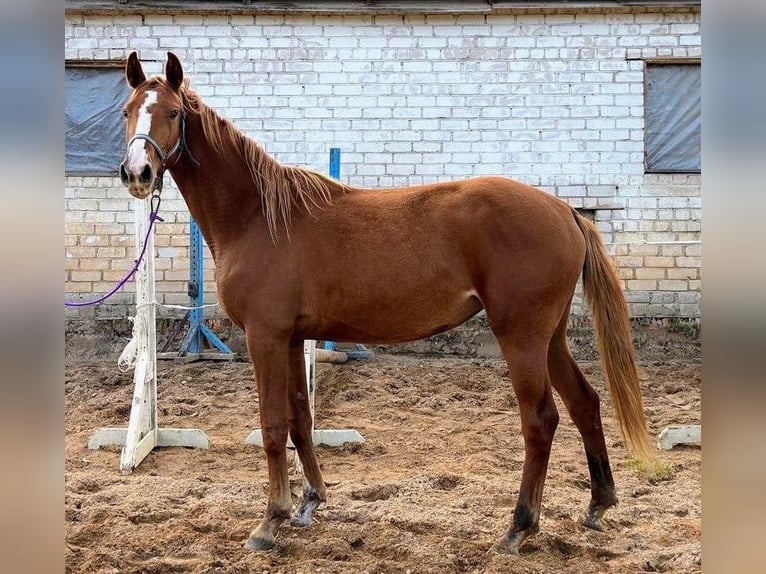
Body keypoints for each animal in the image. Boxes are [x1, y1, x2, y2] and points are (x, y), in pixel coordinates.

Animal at [118, 51, 654, 554]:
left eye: (171, 112)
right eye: (127, 110)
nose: (137, 172)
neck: (259, 216)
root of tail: (564, 210)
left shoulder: (264, 337)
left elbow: (272, 426)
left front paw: (269, 521)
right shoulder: (291, 339)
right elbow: (300, 419)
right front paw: (310, 500)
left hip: (521, 337)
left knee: (541, 420)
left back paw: (518, 528)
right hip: (551, 338)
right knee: (584, 403)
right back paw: (598, 504)